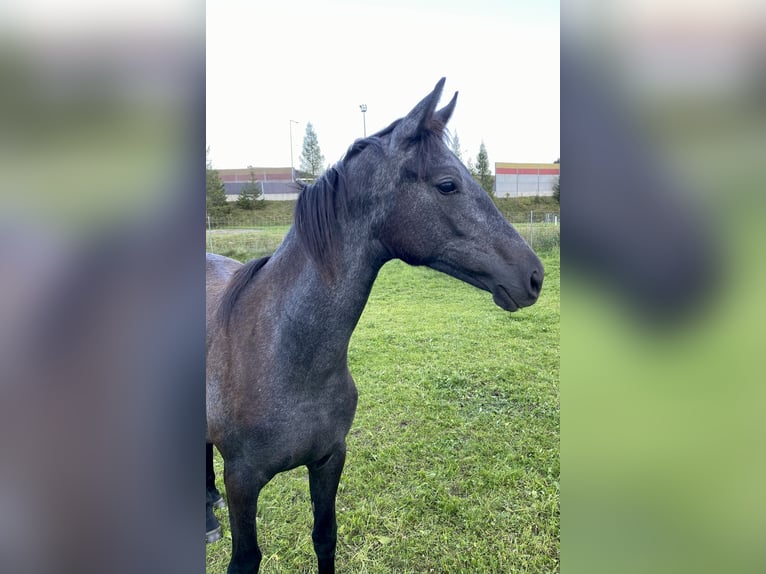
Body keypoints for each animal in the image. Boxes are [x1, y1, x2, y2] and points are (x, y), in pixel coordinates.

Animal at [204, 77, 544, 574]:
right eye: (448, 184)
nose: (535, 275)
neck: (282, 353)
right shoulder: (242, 482)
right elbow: (246, 559)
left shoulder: (329, 460)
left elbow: (325, 537)